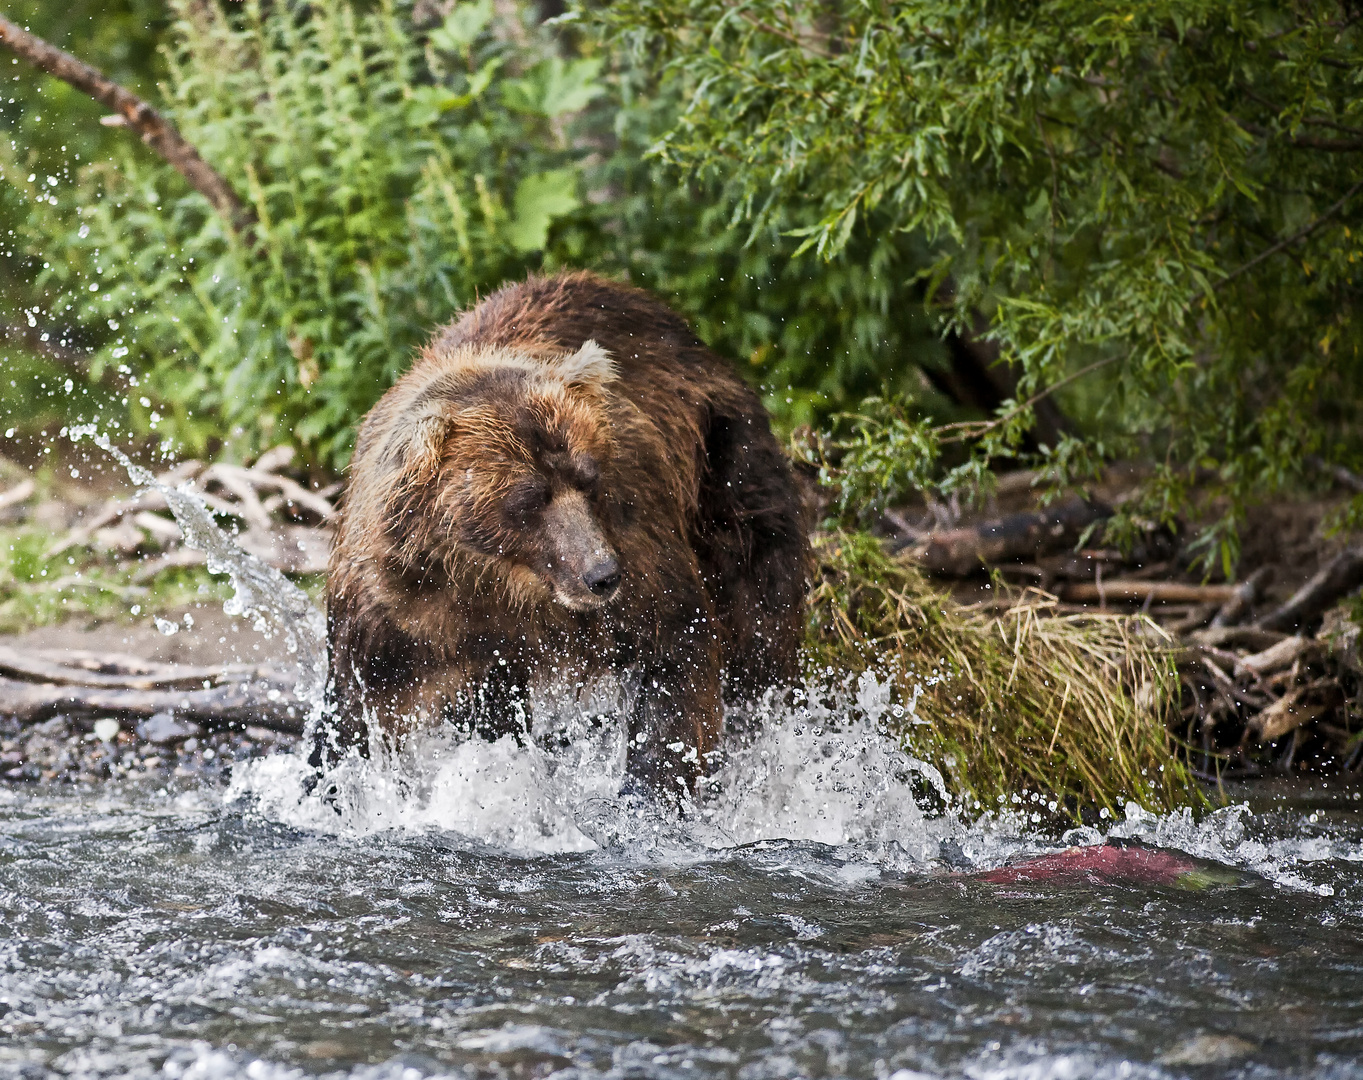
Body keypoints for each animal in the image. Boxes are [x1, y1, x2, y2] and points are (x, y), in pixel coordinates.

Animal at [318, 270, 806, 790]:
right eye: (528, 498)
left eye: (588, 478)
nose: (602, 574)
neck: (496, 581)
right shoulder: (399, 616)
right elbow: (350, 717)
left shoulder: (637, 541)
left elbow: (677, 649)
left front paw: (649, 787)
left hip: (724, 459)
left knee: (759, 603)